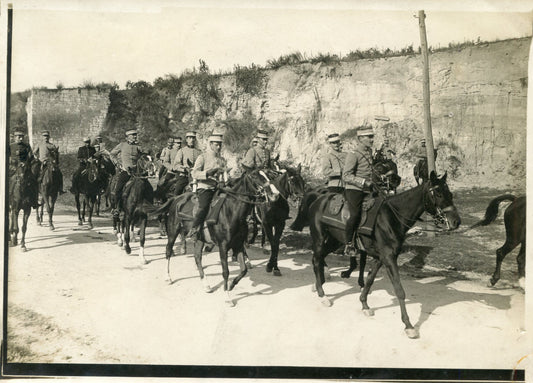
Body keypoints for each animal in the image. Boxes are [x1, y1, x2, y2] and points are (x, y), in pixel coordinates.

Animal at [149, 171, 270, 306]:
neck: (231, 211)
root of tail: (176, 198)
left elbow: (243, 270)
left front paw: (231, 286)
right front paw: (227, 297)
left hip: (200, 239)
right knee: (168, 251)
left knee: (197, 258)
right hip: (173, 232)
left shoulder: (238, 244)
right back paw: (168, 277)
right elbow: (226, 272)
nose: (271, 192)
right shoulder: (223, 247)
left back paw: (206, 285)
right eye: (254, 175)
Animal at [306, 172, 460, 340]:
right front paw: (408, 325)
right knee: (316, 260)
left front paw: (364, 304)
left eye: (450, 194)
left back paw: (319, 284)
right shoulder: (389, 258)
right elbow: (399, 290)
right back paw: (322, 295)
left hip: (334, 241)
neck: (391, 218)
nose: (456, 222)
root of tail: (318, 200)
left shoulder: (380, 258)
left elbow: (369, 280)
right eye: (438, 194)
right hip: (320, 239)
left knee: (319, 258)